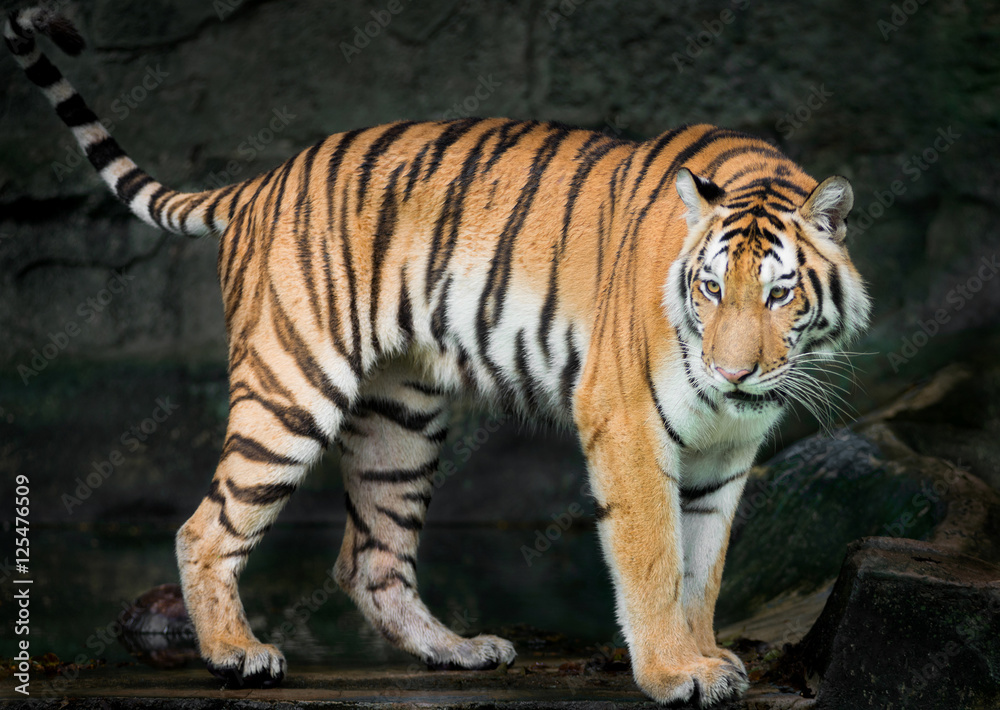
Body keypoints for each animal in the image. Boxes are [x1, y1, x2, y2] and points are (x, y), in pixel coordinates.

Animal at [5, 6, 871, 707]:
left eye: (779, 295)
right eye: (711, 288)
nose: (732, 374)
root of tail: (262, 180)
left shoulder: (725, 455)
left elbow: (704, 569)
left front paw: (706, 657)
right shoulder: (626, 425)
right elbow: (656, 561)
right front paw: (672, 674)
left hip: (401, 422)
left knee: (369, 559)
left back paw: (456, 650)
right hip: (293, 387)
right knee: (204, 527)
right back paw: (236, 656)